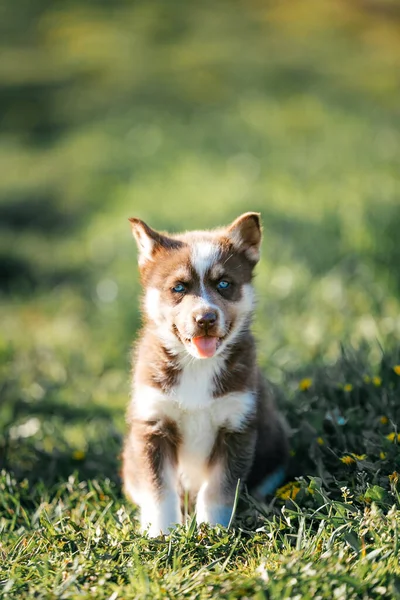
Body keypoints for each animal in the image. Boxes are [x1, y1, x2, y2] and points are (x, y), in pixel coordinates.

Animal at [122, 213, 288, 536]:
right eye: (178, 288)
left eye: (224, 283)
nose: (205, 319)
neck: (197, 366)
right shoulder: (152, 425)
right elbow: (159, 490)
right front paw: (161, 533)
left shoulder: (236, 426)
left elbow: (218, 490)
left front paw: (212, 531)